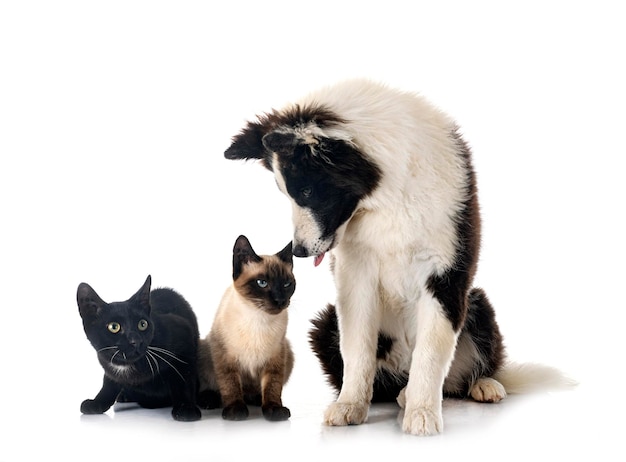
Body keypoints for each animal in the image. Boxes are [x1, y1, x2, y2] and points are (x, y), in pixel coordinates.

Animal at [77, 276, 201, 420]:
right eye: (114, 327)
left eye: (143, 324)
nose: (135, 341)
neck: (127, 365)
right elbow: (109, 382)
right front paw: (97, 402)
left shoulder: (184, 337)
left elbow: (184, 377)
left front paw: (186, 408)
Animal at [224, 77, 572, 434]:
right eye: (287, 193)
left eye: (307, 191)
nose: (299, 251)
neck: (386, 196)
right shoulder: (355, 276)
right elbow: (358, 347)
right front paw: (350, 405)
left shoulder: (445, 275)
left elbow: (430, 350)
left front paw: (422, 413)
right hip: (325, 324)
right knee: (386, 383)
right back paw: (400, 394)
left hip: (478, 304)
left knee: (461, 374)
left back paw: (481, 385)